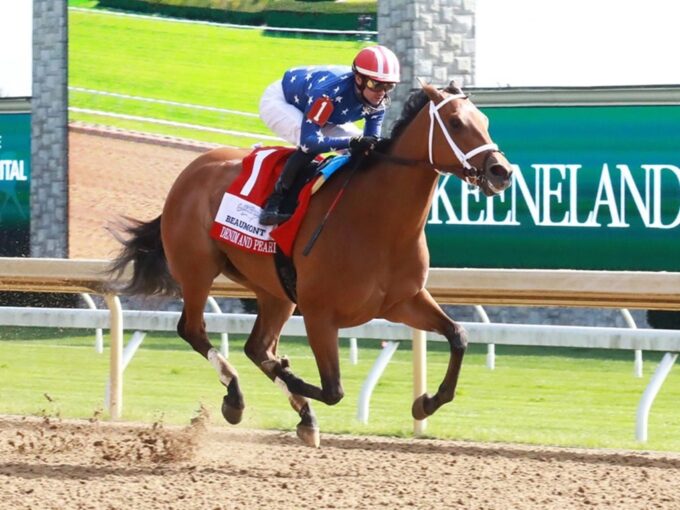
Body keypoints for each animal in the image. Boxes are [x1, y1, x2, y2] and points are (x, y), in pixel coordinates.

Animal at [110, 80, 516, 446]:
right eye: (455, 122)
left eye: (484, 120)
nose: (502, 171)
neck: (379, 220)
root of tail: (190, 171)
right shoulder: (320, 314)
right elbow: (333, 389)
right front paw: (290, 373)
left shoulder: (403, 301)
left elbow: (458, 335)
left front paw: (426, 402)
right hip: (197, 270)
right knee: (194, 330)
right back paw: (237, 398)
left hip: (274, 291)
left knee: (257, 348)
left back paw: (300, 415)